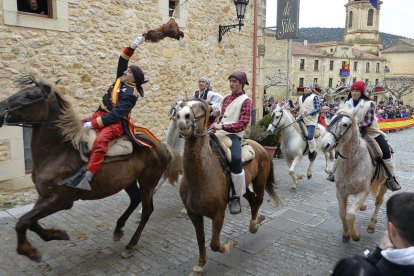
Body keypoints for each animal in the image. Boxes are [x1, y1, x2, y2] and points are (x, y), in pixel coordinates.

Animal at [0, 76, 180, 262]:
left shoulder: (60, 200)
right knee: (135, 200)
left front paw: (29, 250)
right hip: (128, 181)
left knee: (147, 210)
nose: (1, 109)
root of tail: (161, 146)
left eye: (29, 95)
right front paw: (56, 234)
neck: (59, 152)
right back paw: (118, 228)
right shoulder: (44, 196)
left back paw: (130, 245)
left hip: (147, 182)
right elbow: (30, 221)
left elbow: (22, 222)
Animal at [175, 99, 282, 274]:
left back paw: (254, 224)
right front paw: (200, 264)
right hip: (242, 189)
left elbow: (214, 244)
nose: (182, 117)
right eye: (182, 104)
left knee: (258, 200)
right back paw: (256, 220)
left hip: (259, 183)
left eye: (201, 107)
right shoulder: (194, 214)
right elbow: (200, 239)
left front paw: (230, 245)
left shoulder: (218, 214)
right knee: (252, 200)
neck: (202, 174)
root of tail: (260, 147)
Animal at [320, 106, 388, 240]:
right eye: (331, 120)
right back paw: (362, 208)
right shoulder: (341, 193)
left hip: (384, 184)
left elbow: (350, 214)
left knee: (379, 201)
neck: (353, 162)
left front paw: (355, 235)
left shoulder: (362, 192)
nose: (324, 144)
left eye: (345, 124)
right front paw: (346, 233)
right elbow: (342, 213)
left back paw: (372, 224)